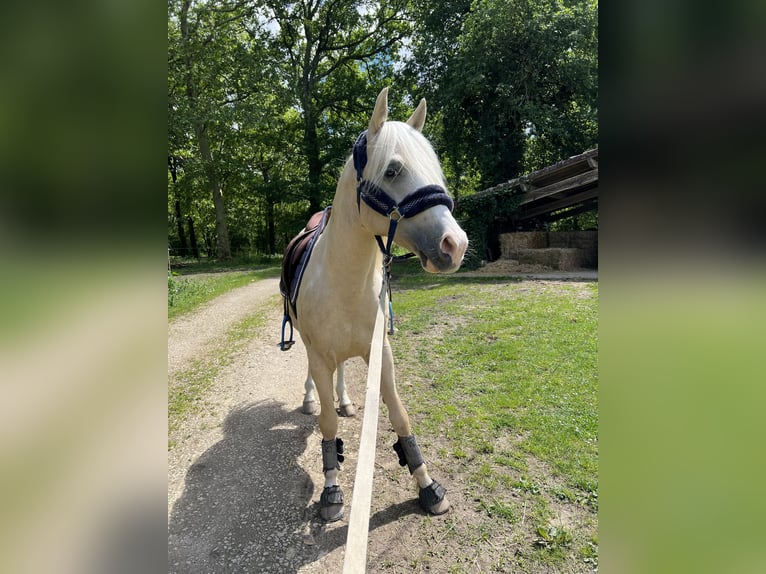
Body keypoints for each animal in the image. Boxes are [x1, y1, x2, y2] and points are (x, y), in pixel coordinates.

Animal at [284, 88, 468, 524]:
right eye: (393, 170)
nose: (456, 244)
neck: (343, 279)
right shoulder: (319, 354)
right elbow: (327, 424)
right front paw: (331, 490)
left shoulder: (379, 353)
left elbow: (399, 415)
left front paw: (428, 485)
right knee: (315, 381)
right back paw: (310, 399)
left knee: (341, 374)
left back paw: (347, 400)